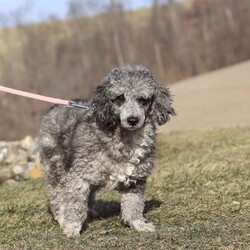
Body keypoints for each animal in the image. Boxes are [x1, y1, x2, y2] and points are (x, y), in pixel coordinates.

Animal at [38, 64, 176, 236]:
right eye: (120, 98)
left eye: (143, 99)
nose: (132, 120)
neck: (124, 141)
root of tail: (53, 107)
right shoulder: (79, 176)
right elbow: (75, 204)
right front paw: (72, 226)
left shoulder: (136, 179)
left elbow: (133, 205)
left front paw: (138, 224)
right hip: (56, 168)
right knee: (58, 197)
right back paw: (63, 218)